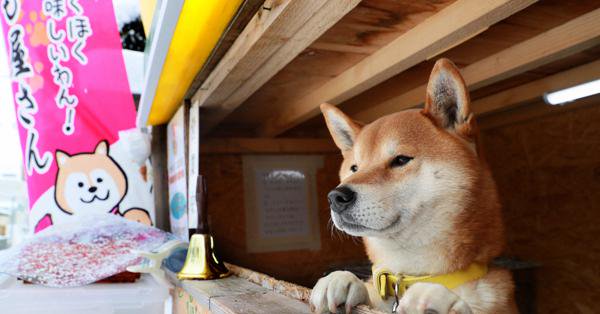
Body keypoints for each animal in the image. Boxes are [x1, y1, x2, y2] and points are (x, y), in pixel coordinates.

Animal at [310, 59, 516, 314]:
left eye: (400, 160)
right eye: (354, 168)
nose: (336, 197)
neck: (409, 277)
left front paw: (437, 297)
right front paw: (341, 279)